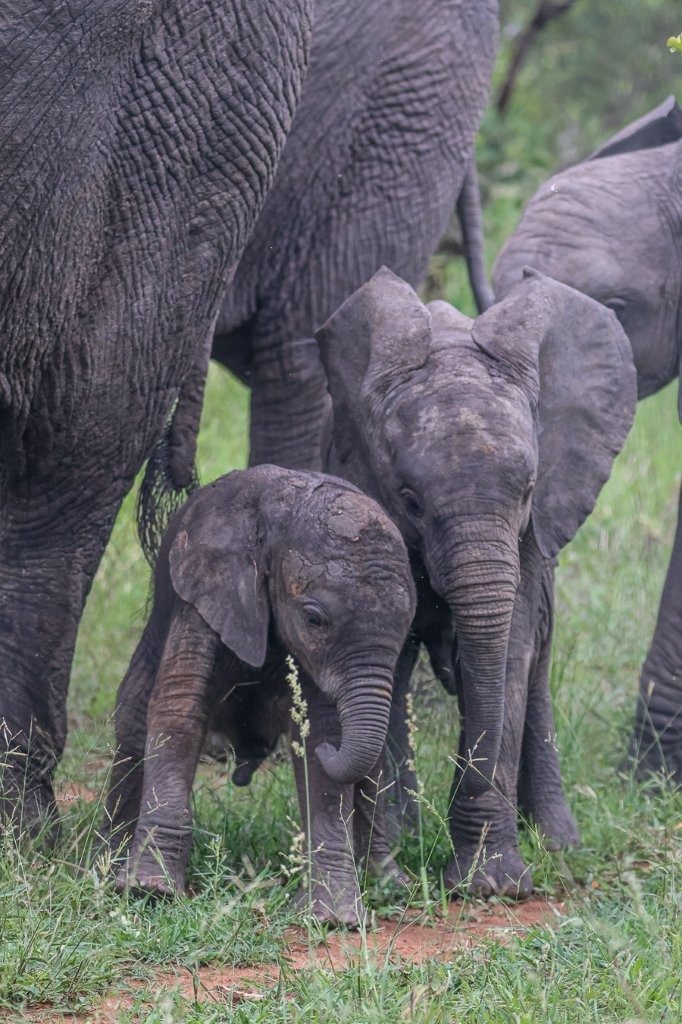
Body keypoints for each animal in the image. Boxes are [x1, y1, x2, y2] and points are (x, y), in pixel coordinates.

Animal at [102, 465, 415, 927]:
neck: (278, 517)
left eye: (408, 625)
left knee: (371, 765)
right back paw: (108, 863)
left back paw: (389, 881)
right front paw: (149, 891)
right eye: (314, 619)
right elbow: (179, 708)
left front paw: (334, 919)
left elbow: (320, 733)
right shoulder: (207, 590)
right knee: (134, 721)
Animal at [312, 266, 636, 897]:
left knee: (536, 666)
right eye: (410, 500)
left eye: (529, 489)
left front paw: (493, 884)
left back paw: (559, 842)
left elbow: (510, 651)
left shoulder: (534, 530)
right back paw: (410, 831)